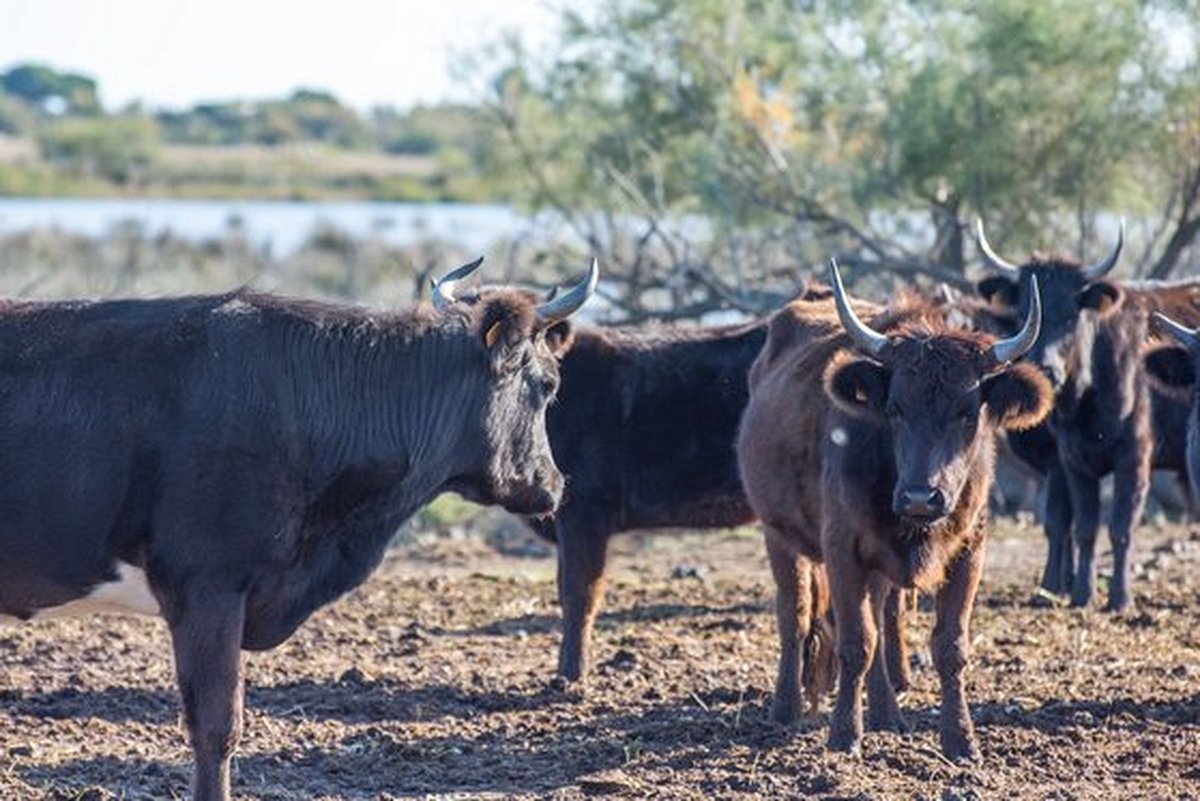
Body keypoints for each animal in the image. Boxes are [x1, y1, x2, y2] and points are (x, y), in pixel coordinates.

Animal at [734, 261, 1056, 757]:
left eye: (968, 411)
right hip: (778, 535)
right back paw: (785, 708)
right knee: (796, 615)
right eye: (895, 407)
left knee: (884, 619)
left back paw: (887, 714)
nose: (921, 497)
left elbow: (947, 646)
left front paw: (960, 739)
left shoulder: (969, 551)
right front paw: (844, 736)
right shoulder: (842, 550)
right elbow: (855, 643)